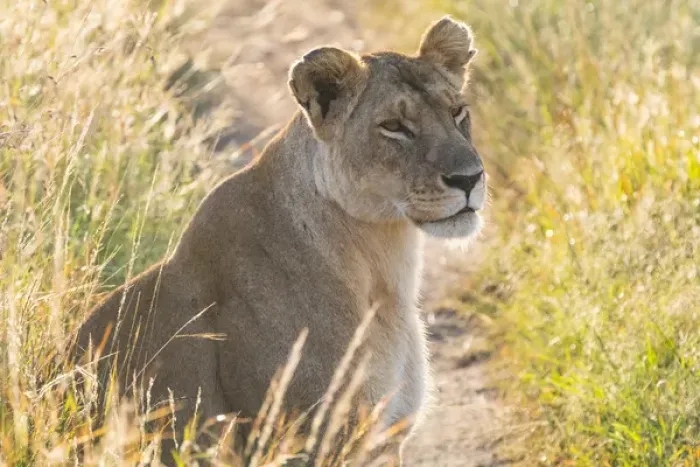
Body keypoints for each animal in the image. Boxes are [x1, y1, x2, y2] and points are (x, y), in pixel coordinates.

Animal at [71, 16, 487, 464]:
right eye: (394, 127)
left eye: (457, 111)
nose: (469, 178)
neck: (382, 261)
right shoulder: (304, 440)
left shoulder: (385, 440)